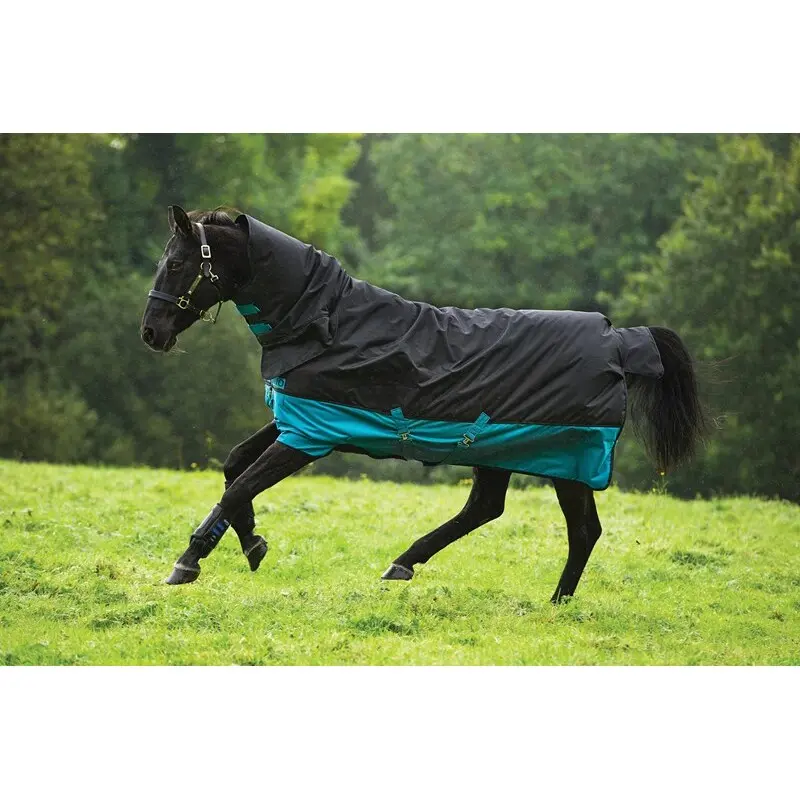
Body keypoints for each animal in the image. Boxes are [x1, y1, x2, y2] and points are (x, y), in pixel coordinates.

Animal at [140, 205, 706, 602]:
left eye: (177, 263)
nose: (151, 333)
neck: (327, 321)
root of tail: (618, 340)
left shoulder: (310, 436)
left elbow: (240, 486)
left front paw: (191, 562)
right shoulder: (297, 417)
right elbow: (234, 467)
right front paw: (246, 545)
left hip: (569, 459)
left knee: (582, 530)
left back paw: (555, 603)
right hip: (499, 452)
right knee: (486, 508)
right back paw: (405, 563)